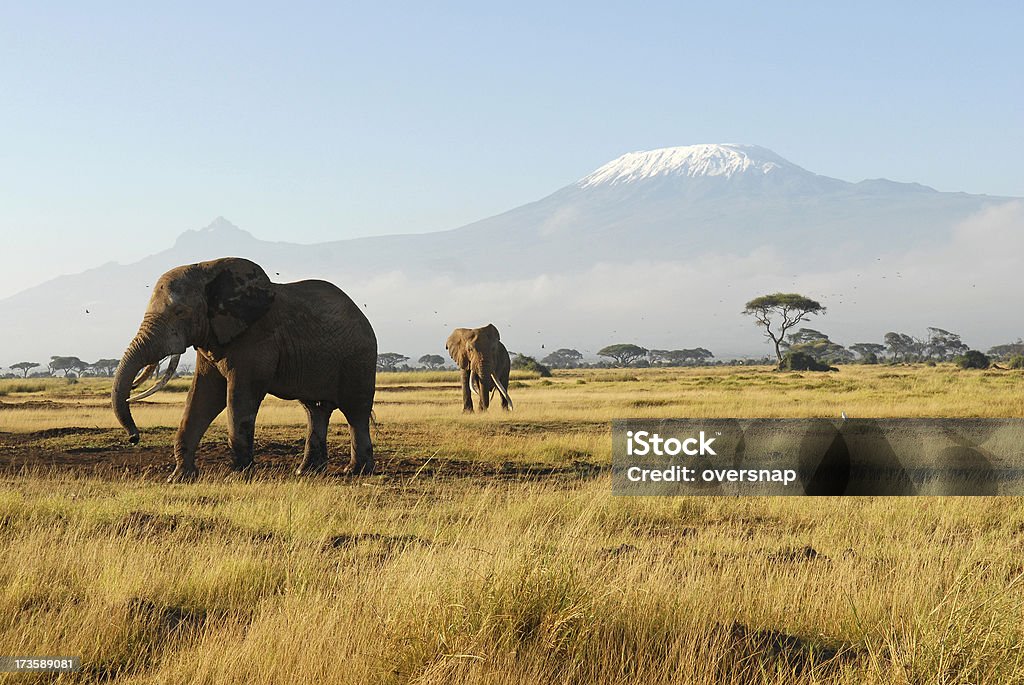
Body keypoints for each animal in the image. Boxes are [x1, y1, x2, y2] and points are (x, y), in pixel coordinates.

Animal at [113, 255, 376, 481]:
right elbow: (203, 397)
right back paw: (306, 472)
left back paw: (356, 471)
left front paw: (239, 475)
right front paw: (179, 478)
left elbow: (239, 397)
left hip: (359, 359)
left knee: (356, 412)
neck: (207, 270)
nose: (134, 438)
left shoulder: (255, 338)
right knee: (315, 410)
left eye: (180, 312)